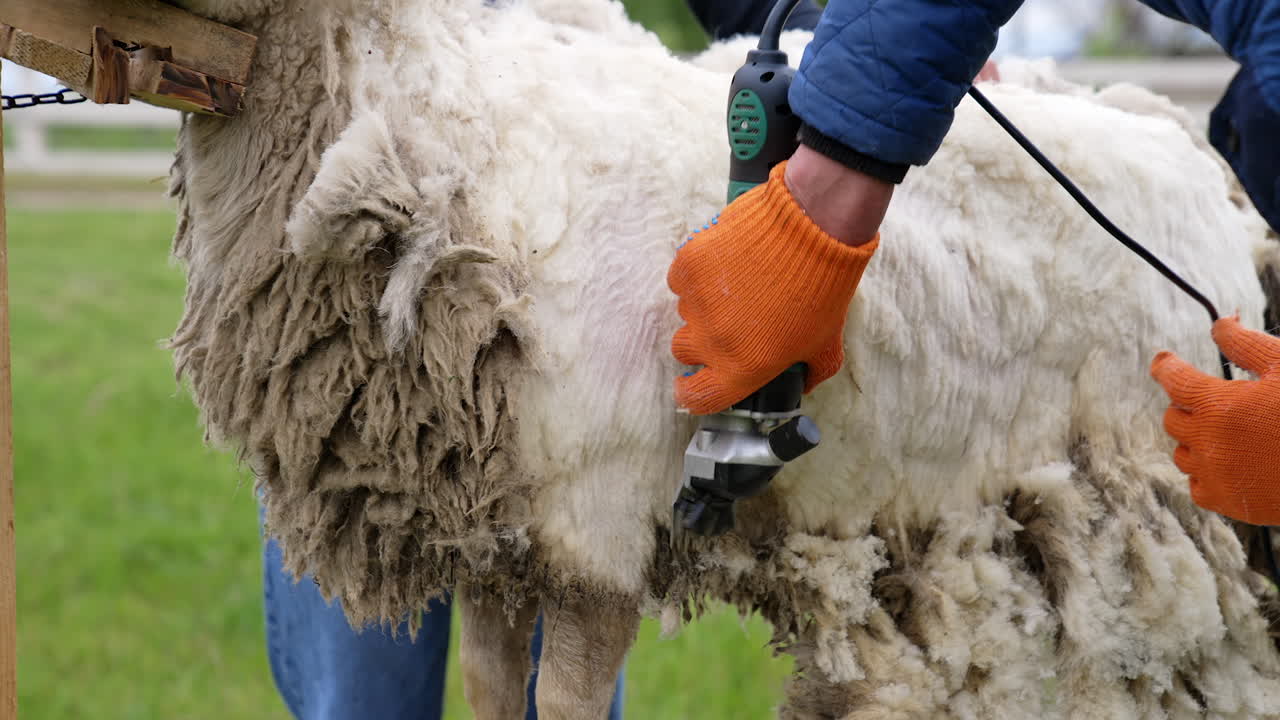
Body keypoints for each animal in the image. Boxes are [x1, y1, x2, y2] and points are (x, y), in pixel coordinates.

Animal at [163, 0, 1280, 717]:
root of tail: (1184, 146)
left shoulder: (596, 522)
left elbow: (564, 698)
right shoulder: (498, 533)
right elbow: (487, 687)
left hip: (1162, 504)